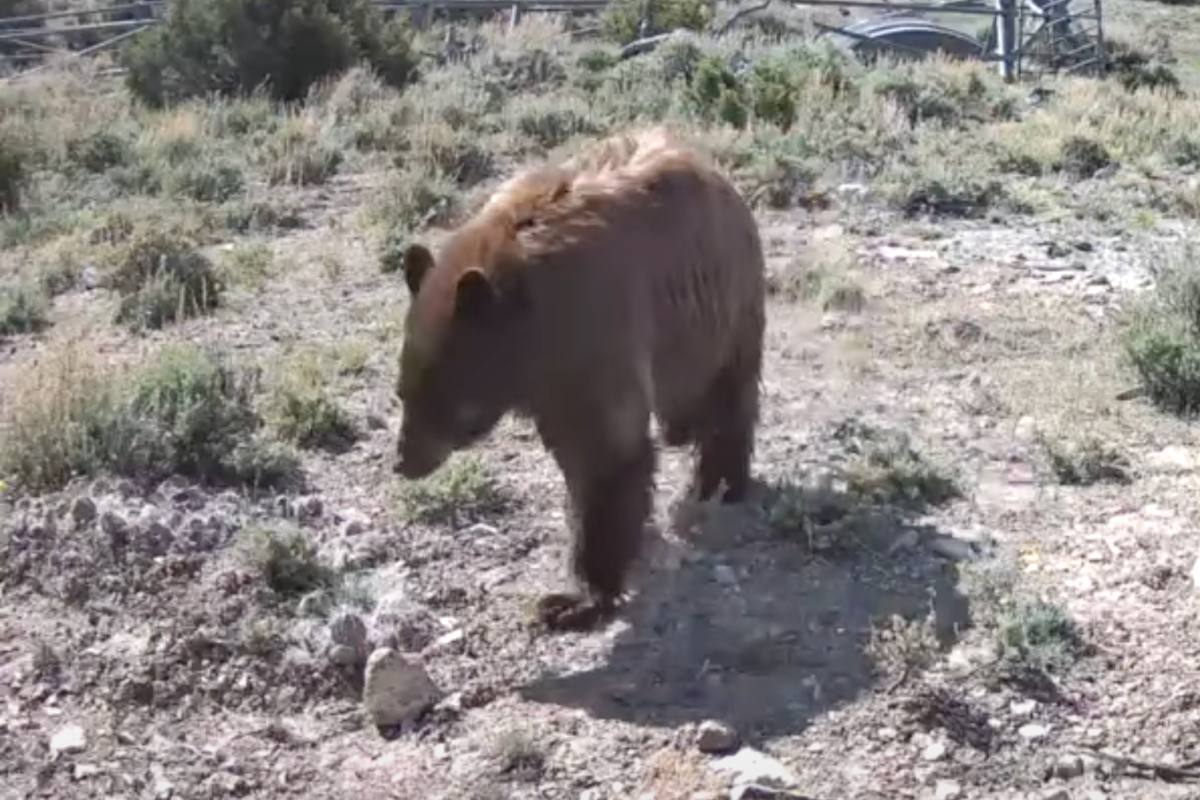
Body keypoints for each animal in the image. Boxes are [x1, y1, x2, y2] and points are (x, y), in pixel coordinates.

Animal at [393, 126, 768, 633]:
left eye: (443, 399)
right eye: (402, 393)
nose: (403, 461)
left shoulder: (589, 338)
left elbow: (606, 457)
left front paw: (575, 599)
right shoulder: (550, 377)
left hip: (722, 309)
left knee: (725, 395)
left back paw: (719, 481)